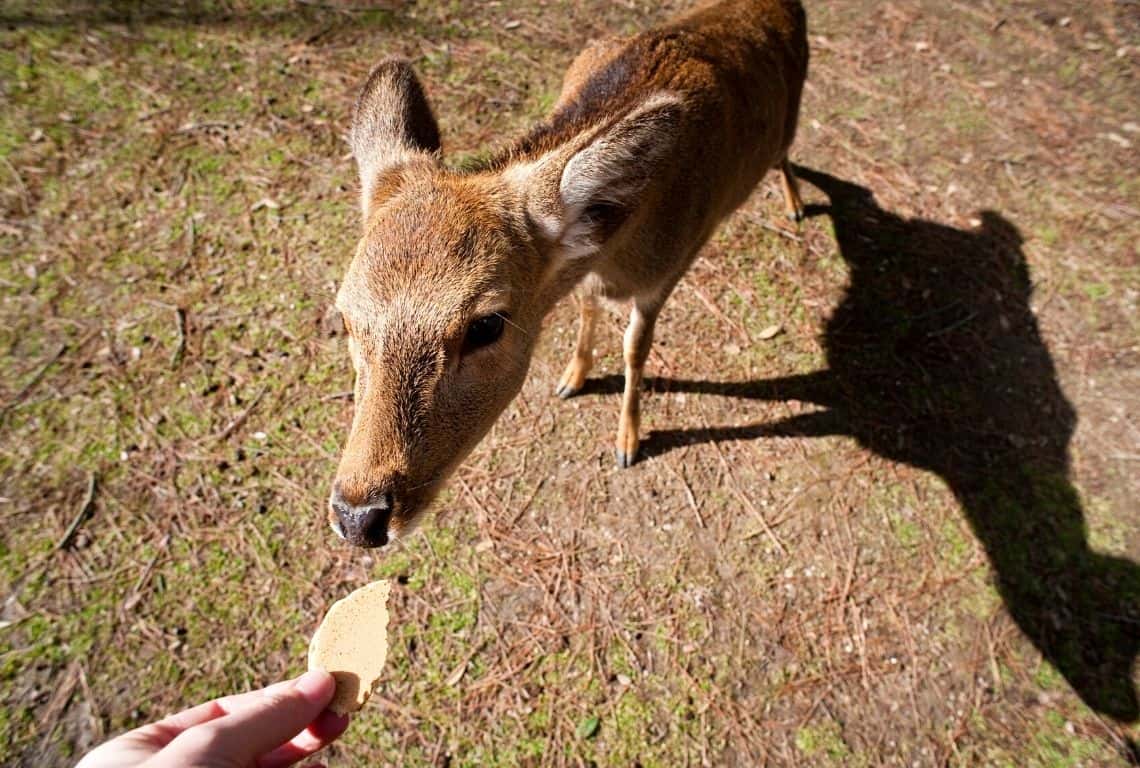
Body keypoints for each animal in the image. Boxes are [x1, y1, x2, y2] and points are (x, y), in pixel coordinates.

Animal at [330, 1, 811, 551]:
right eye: (344, 317)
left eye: (487, 324)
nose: (358, 516)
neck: (623, 248)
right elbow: (587, 306)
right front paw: (572, 378)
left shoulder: (668, 272)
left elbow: (635, 348)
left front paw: (628, 442)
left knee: (787, 154)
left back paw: (798, 205)